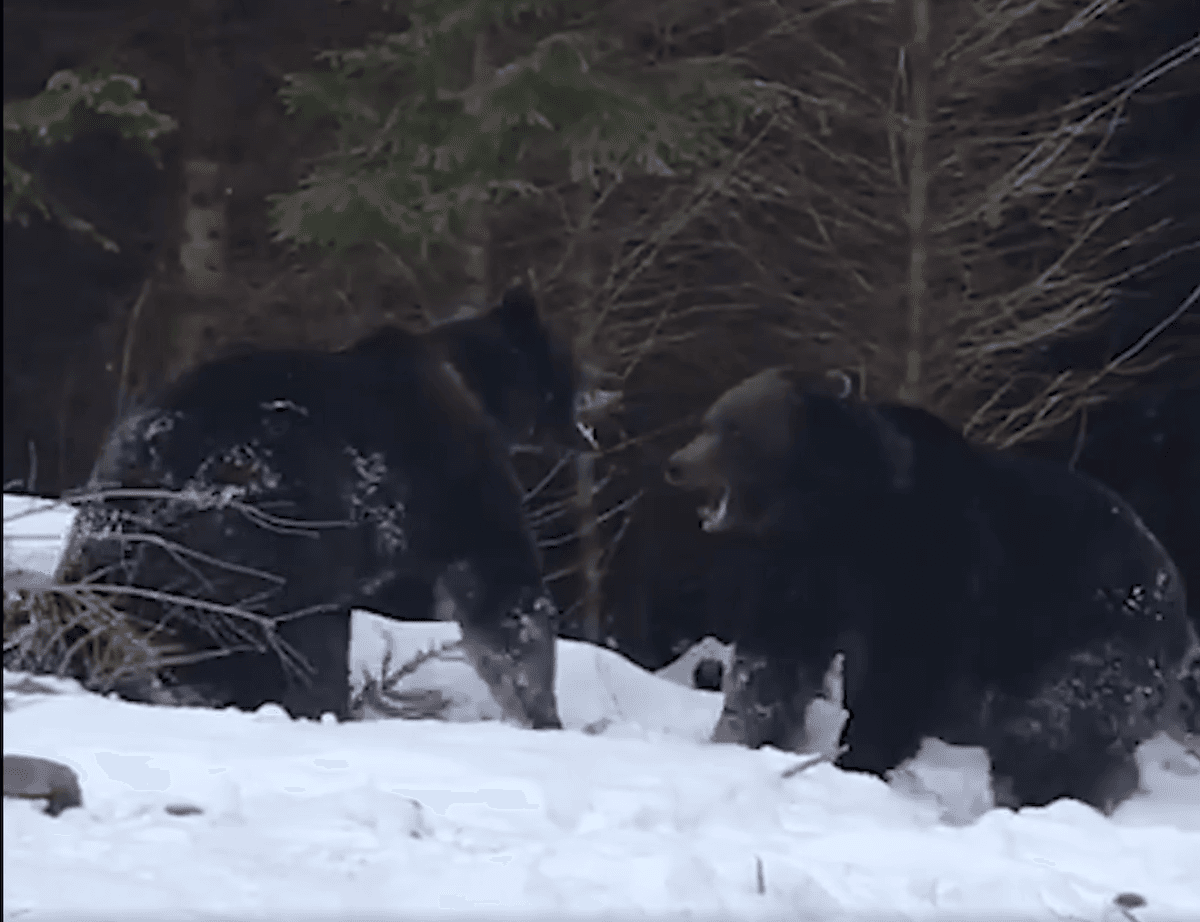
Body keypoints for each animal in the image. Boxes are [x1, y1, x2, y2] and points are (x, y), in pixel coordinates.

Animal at [55, 284, 581, 729]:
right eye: (568, 374)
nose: (583, 427)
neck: (477, 390)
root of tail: (152, 447)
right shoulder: (454, 479)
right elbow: (502, 588)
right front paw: (541, 711)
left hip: (116, 532)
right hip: (259, 526)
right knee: (271, 636)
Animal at [665, 366, 1199, 812]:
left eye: (733, 429)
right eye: (711, 419)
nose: (676, 463)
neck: (836, 515)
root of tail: (1173, 585)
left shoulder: (927, 565)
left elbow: (900, 673)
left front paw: (858, 756)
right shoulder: (804, 571)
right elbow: (775, 656)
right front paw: (741, 733)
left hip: (1091, 628)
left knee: (1055, 724)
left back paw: (1046, 795)